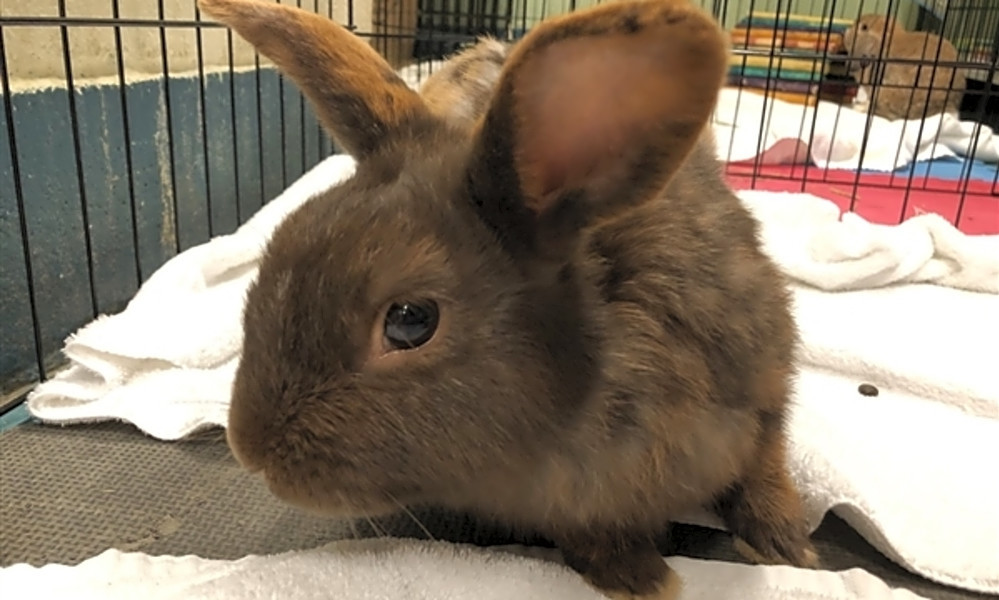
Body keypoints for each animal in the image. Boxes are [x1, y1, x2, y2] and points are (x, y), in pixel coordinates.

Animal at [197, 0, 819, 598]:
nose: (250, 449)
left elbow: (766, 460)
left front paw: (784, 543)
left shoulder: (762, 383)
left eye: (409, 322)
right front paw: (637, 575)